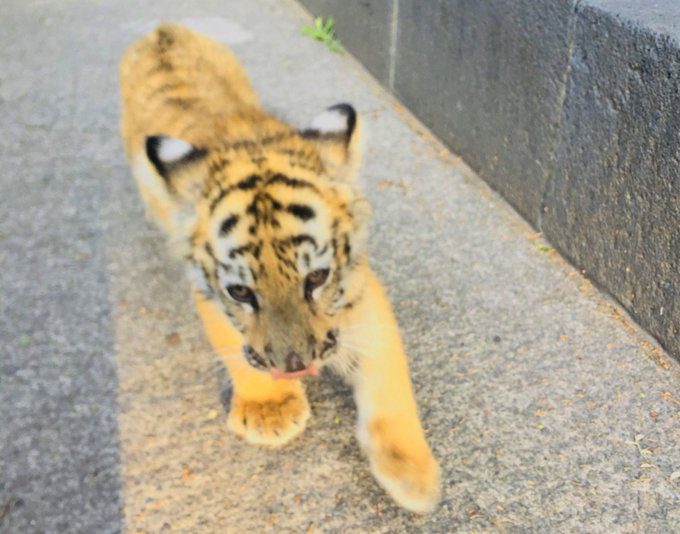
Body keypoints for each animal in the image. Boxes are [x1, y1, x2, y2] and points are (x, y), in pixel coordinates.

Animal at [119, 23, 440, 514]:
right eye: (241, 293)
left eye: (316, 278)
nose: (296, 366)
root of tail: (162, 29)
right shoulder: (208, 292)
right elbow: (236, 345)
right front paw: (270, 410)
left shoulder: (358, 287)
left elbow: (387, 373)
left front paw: (412, 472)